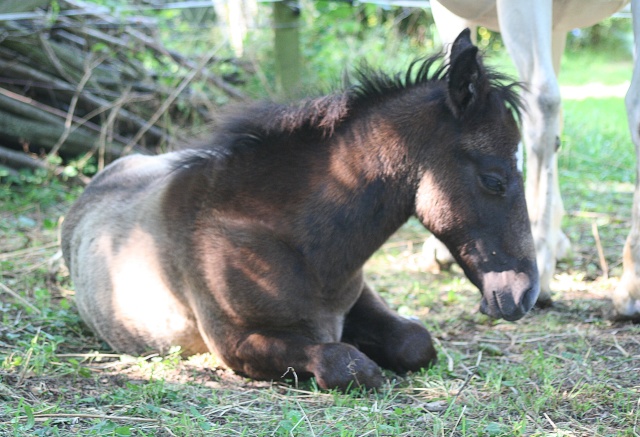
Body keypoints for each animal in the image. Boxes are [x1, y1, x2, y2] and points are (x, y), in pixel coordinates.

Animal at [62, 30, 536, 392]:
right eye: (494, 180)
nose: (524, 295)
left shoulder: (360, 299)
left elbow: (416, 341)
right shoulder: (233, 342)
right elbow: (347, 363)